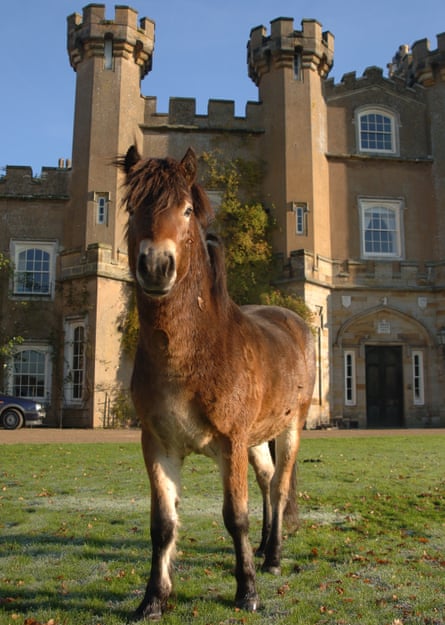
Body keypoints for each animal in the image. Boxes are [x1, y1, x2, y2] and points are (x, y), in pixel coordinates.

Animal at [119, 146, 316, 620]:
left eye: (187, 210)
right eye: (132, 208)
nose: (157, 265)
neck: (192, 355)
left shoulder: (230, 442)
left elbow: (235, 517)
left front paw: (247, 592)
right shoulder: (158, 444)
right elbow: (163, 523)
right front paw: (153, 599)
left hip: (290, 427)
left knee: (279, 485)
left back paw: (273, 556)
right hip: (255, 439)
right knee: (266, 480)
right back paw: (263, 548)